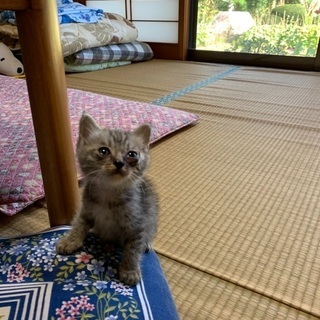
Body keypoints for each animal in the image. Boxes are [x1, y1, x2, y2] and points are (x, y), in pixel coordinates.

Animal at [57, 112, 159, 284]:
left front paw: (129, 270)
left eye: (132, 154)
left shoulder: (137, 223)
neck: (108, 193)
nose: (119, 162)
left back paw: (147, 243)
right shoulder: (86, 210)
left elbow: (133, 248)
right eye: (103, 151)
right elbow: (78, 224)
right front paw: (70, 241)